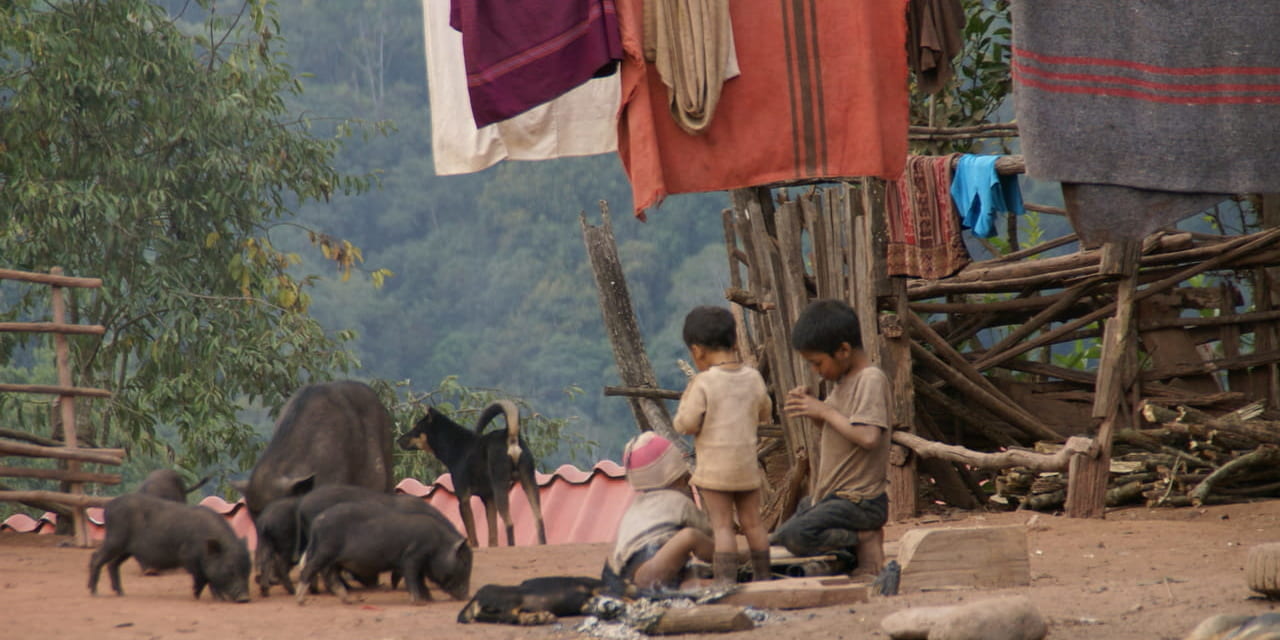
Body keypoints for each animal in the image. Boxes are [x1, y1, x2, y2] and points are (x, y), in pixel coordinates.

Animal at [394, 399, 545, 545]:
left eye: (416, 428)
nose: (398, 440)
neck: (455, 444)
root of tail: (510, 435)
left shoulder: (464, 499)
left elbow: (472, 536)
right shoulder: (488, 499)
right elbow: (492, 537)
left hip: (500, 485)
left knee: (509, 523)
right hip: (529, 482)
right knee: (539, 520)